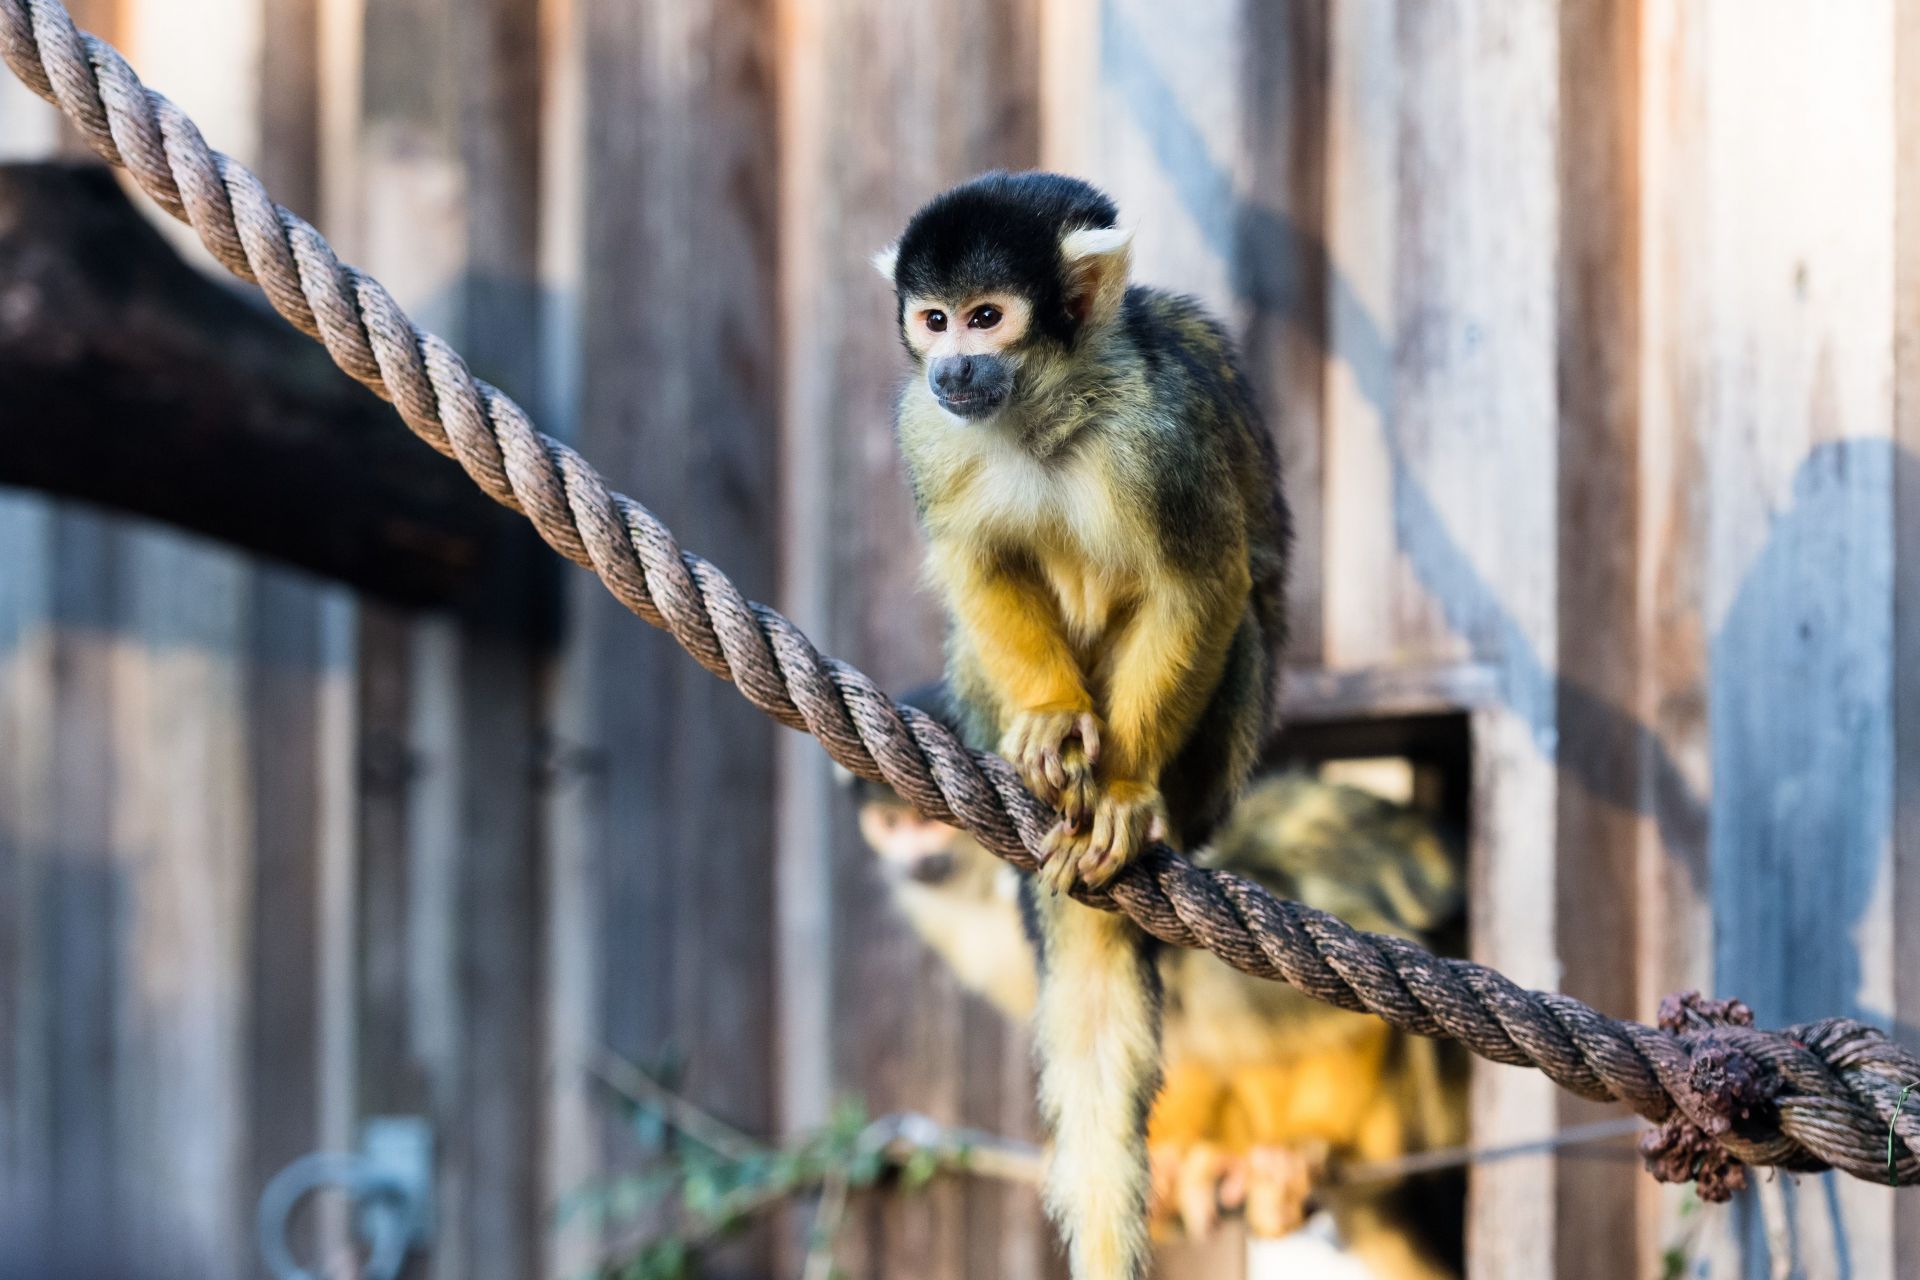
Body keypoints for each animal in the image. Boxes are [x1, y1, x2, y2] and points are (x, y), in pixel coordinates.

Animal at [879, 172, 1290, 1280]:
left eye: (987, 317)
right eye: (933, 320)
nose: (953, 365)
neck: (1046, 409)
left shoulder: (1164, 430)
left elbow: (1201, 584)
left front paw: (1122, 793)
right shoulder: (925, 429)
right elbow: (974, 561)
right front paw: (1054, 724)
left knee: (1238, 617)